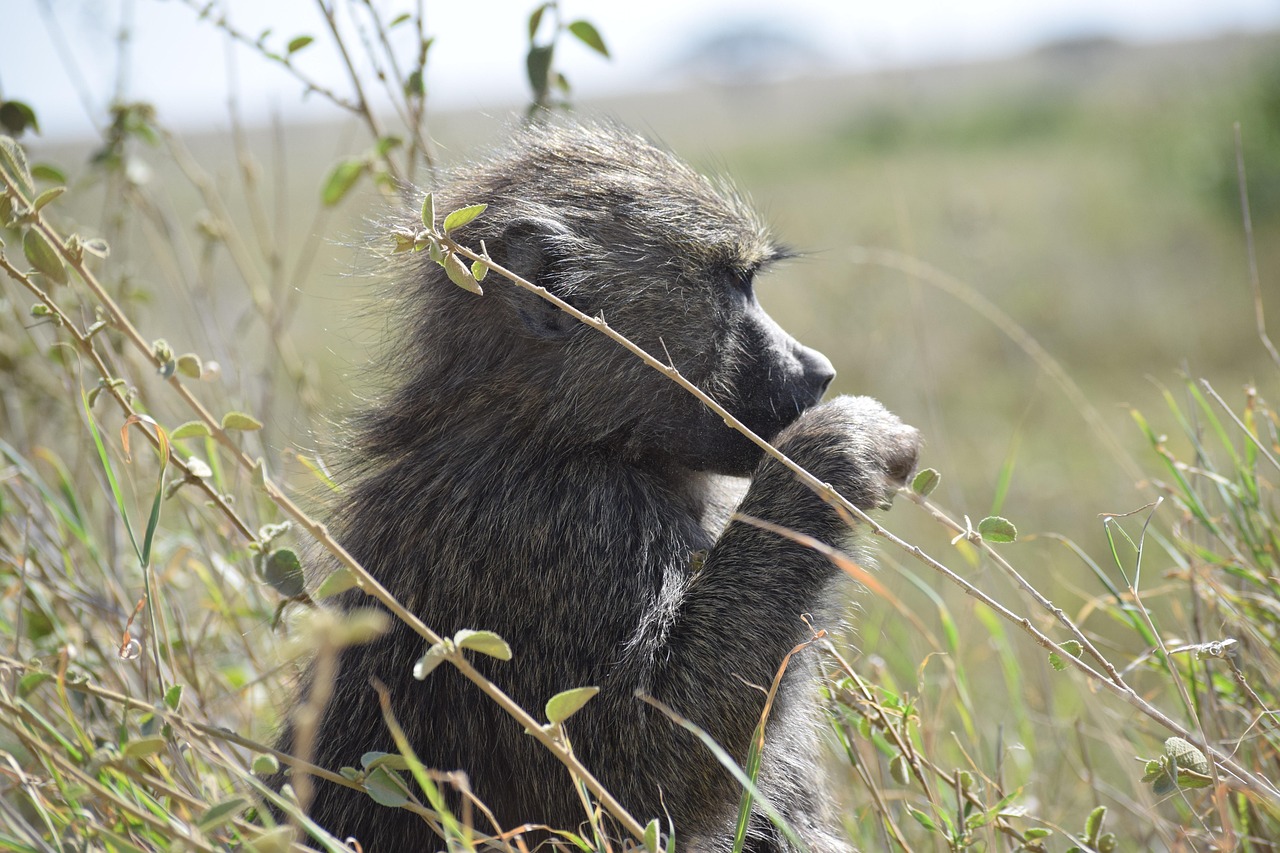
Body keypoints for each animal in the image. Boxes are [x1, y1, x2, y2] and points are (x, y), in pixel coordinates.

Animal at [274, 120, 920, 851]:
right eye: (735, 284)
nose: (818, 372)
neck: (552, 430)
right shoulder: (564, 530)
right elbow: (630, 770)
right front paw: (840, 449)